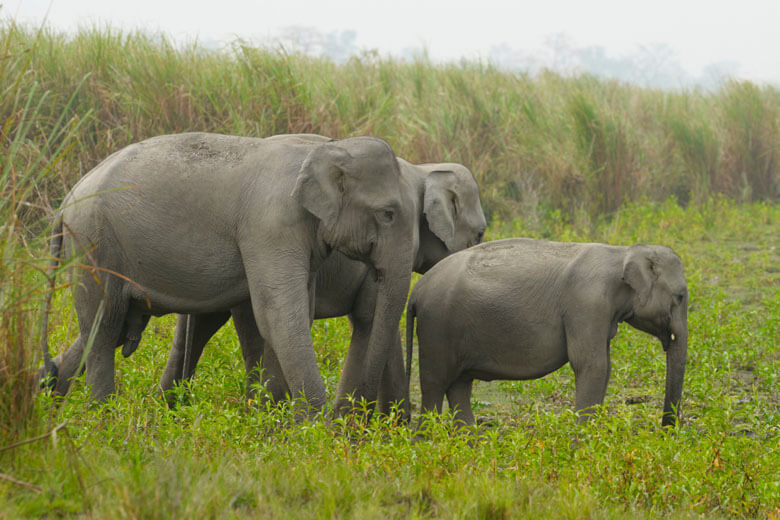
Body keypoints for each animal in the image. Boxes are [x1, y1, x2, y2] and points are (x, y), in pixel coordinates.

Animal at [38, 132, 414, 412]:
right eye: (388, 214)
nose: (350, 421)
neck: (324, 149)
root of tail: (66, 201)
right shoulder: (270, 226)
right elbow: (277, 313)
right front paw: (311, 429)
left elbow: (288, 316)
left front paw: (273, 419)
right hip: (94, 243)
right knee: (103, 326)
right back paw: (101, 416)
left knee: (105, 328)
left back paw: (51, 398)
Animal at [159, 138, 488, 414]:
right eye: (481, 233)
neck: (424, 170)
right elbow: (371, 318)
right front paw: (365, 423)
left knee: (201, 326)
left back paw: (169, 406)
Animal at [408, 239, 688, 426]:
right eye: (681, 296)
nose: (665, 431)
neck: (623, 252)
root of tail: (417, 290)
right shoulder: (586, 304)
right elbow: (591, 365)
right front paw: (584, 446)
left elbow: (604, 366)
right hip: (436, 326)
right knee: (434, 385)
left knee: (459, 386)